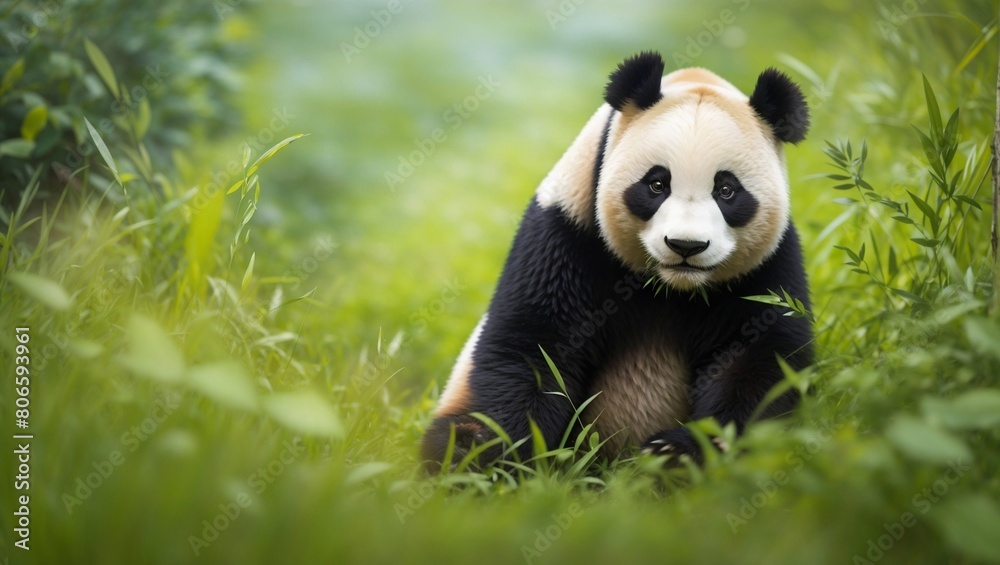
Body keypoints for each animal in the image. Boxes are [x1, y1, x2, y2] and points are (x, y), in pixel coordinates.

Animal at [421, 51, 814, 471]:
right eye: (657, 184)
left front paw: (676, 454)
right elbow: (532, 347)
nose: (685, 245)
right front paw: (494, 456)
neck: (672, 287)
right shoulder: (566, 233)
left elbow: (763, 358)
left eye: (726, 190)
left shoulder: (768, 264)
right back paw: (459, 447)